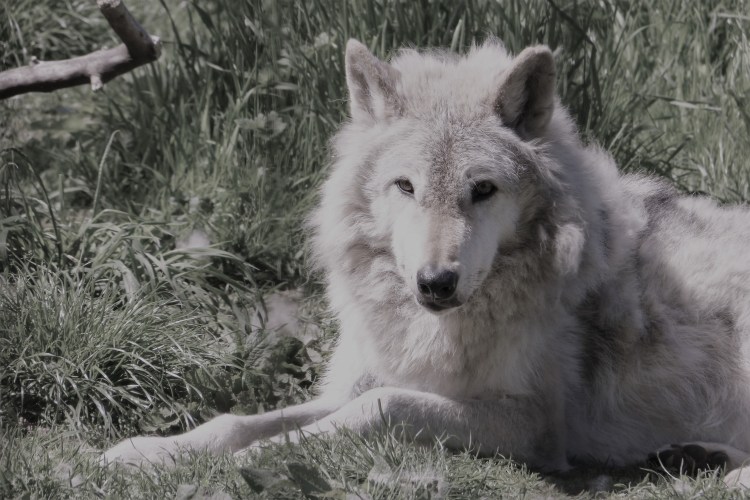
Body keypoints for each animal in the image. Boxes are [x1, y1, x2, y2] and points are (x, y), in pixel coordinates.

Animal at [103, 38, 750, 486]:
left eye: (483, 190)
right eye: (405, 187)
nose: (436, 282)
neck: (440, 328)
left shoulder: (535, 424)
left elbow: (379, 405)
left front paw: (262, 455)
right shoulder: (365, 379)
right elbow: (238, 420)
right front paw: (153, 451)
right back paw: (696, 455)